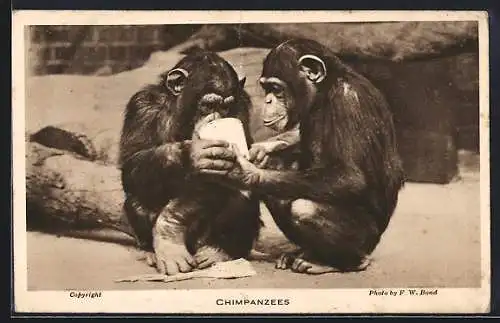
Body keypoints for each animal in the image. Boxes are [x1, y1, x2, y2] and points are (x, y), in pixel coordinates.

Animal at [118, 50, 262, 276]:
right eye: (209, 105)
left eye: (226, 106)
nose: (216, 118)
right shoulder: (142, 107)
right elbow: (133, 162)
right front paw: (193, 153)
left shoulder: (241, 108)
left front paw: (170, 228)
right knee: (137, 196)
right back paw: (151, 251)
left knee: (243, 190)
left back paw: (219, 251)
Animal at [196, 39, 406, 274]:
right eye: (266, 88)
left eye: (276, 88)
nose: (267, 101)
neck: (324, 92)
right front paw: (262, 150)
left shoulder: (349, 101)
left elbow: (350, 175)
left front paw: (246, 173)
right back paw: (303, 252)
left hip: (367, 239)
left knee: (304, 208)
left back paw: (334, 262)